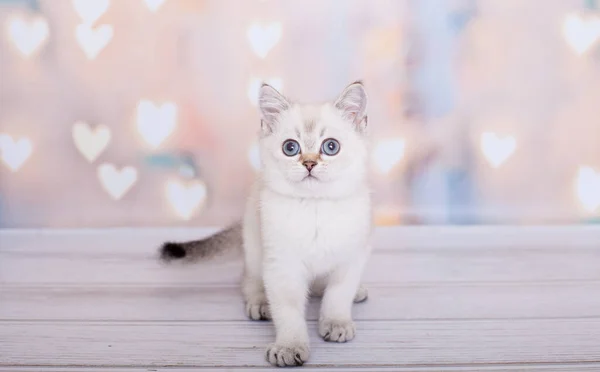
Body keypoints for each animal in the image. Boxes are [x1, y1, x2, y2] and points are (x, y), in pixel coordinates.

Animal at [162, 81, 372, 366]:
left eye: (330, 147)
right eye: (290, 148)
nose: (309, 163)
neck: (315, 207)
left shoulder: (350, 259)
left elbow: (337, 296)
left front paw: (336, 323)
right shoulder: (282, 266)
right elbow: (288, 312)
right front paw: (289, 347)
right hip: (254, 245)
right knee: (249, 278)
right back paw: (260, 302)